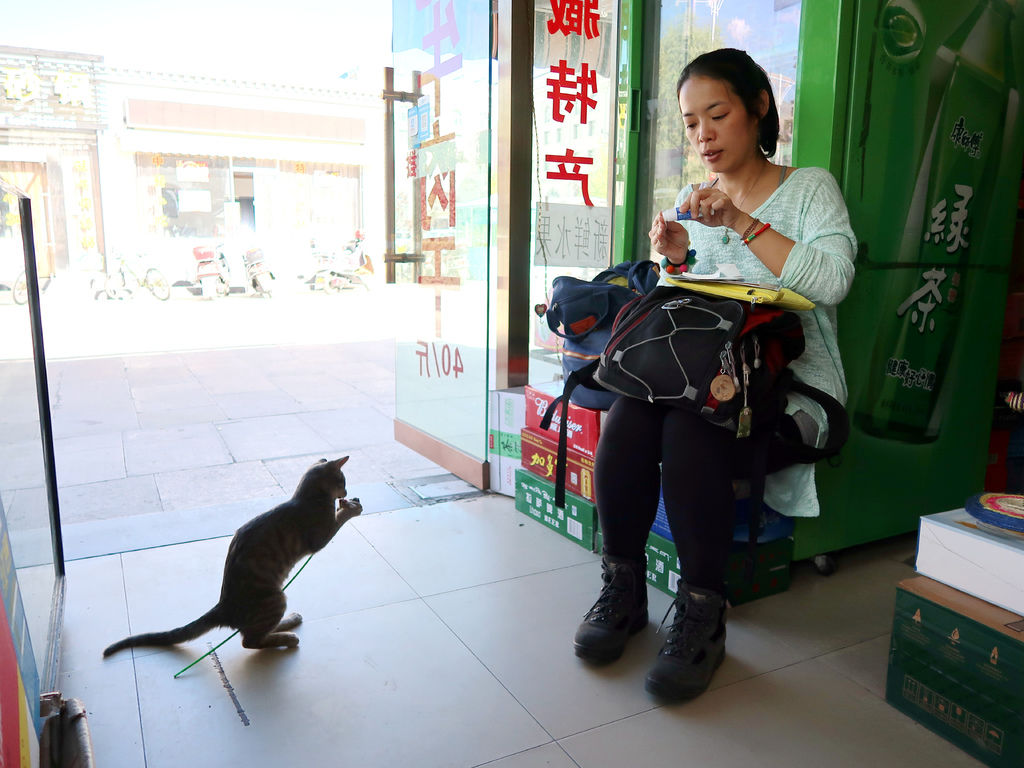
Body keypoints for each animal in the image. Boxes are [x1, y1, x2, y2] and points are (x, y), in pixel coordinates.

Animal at [103, 460, 364, 659]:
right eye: (343, 481)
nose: (346, 493)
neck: (307, 497)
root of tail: (224, 606)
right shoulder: (319, 538)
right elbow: (339, 520)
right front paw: (350, 508)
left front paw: (348, 504)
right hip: (275, 598)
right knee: (250, 640)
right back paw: (288, 637)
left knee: (256, 632)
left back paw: (288, 622)